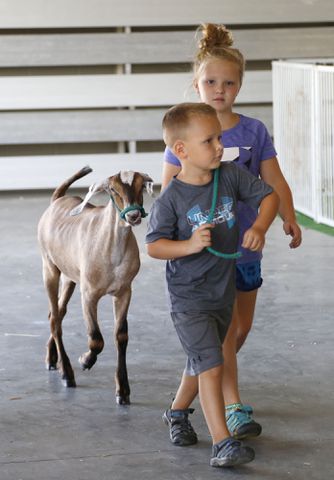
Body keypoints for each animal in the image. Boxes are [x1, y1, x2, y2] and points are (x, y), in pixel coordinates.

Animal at [37, 167, 153, 404]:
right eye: (113, 189)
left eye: (140, 186)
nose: (133, 216)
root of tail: (57, 200)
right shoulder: (89, 294)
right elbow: (96, 338)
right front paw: (85, 360)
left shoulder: (124, 291)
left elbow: (121, 336)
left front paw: (123, 390)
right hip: (49, 268)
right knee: (54, 318)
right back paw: (67, 373)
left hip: (70, 277)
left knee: (58, 313)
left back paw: (52, 359)